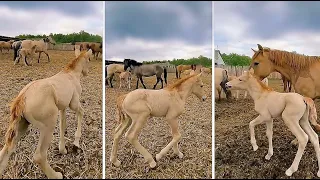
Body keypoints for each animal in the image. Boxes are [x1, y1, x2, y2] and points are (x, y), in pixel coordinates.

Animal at [0, 49, 92, 180]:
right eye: (89, 60)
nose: (87, 73)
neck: (72, 74)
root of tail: (21, 98)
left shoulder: (62, 108)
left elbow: (62, 125)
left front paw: (63, 149)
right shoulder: (73, 104)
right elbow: (81, 112)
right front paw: (76, 143)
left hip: (22, 125)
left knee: (7, 149)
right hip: (48, 125)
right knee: (39, 156)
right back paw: (57, 175)